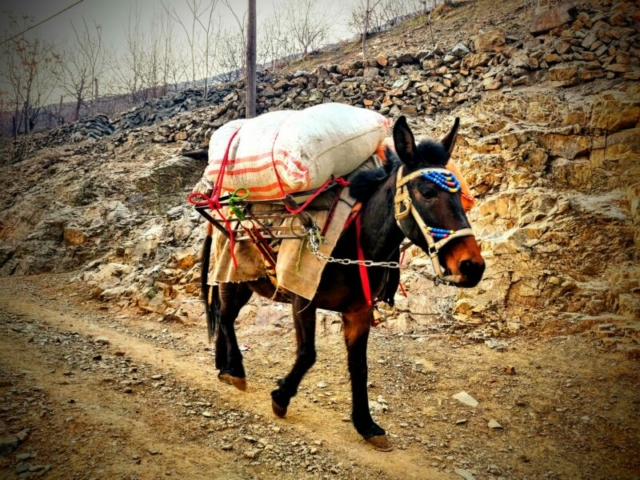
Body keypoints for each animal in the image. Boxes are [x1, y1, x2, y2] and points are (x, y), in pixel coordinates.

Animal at [199, 116, 485, 451]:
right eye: (427, 192)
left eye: (460, 196)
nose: (472, 266)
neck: (354, 241)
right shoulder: (302, 298)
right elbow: (307, 353)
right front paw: (281, 396)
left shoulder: (358, 312)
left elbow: (359, 366)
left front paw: (366, 424)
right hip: (234, 277)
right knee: (225, 316)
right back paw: (235, 370)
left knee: (223, 316)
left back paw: (223, 366)